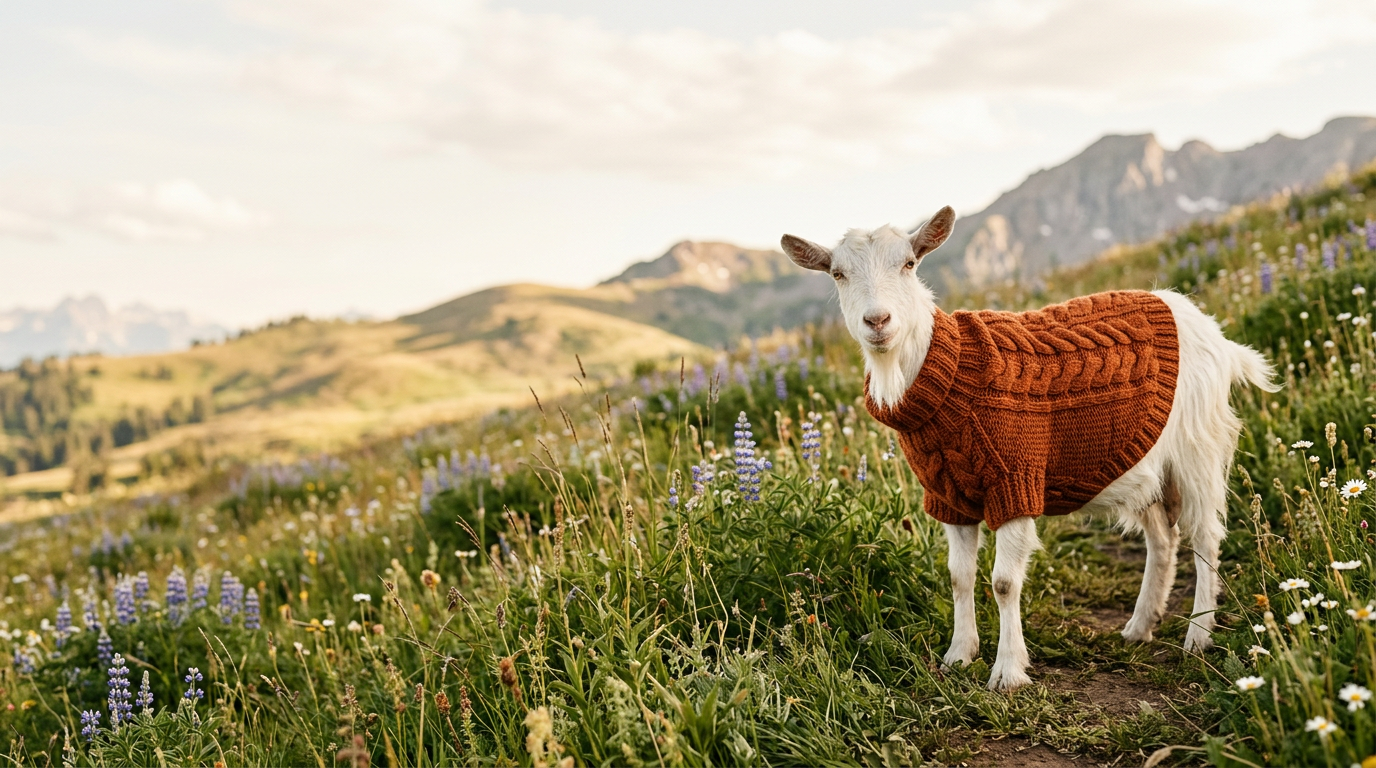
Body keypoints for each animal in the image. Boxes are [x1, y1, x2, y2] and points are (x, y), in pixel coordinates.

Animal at [781, 207, 1278, 691]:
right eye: (838, 274)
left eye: (908, 264)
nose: (878, 322)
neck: (950, 373)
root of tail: (1211, 331)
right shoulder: (949, 495)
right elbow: (959, 576)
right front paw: (959, 655)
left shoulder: (1015, 480)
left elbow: (1003, 582)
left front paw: (1007, 672)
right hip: (1147, 464)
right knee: (1163, 537)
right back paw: (1140, 626)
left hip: (1198, 447)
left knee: (1205, 537)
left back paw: (1198, 635)